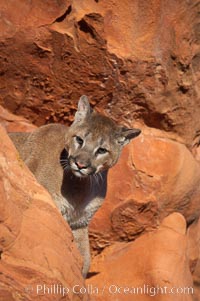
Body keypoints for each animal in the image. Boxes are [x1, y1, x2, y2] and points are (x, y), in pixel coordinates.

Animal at [9, 96, 141, 276]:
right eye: (79, 139)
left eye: (102, 150)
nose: (80, 164)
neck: (79, 189)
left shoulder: (80, 222)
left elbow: (84, 257)